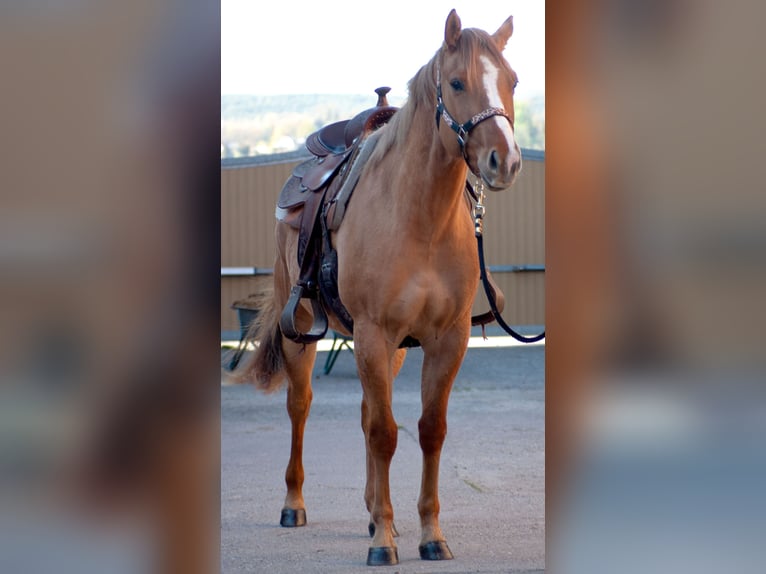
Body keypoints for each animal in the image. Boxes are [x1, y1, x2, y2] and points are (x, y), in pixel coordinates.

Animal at [238, 9, 521, 566]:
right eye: (457, 82)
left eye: (514, 81)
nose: (506, 160)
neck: (419, 219)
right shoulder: (373, 333)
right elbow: (385, 433)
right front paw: (384, 542)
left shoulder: (445, 340)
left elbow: (427, 430)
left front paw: (428, 534)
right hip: (305, 332)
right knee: (301, 407)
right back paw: (294, 504)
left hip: (392, 349)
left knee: (370, 412)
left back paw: (372, 512)